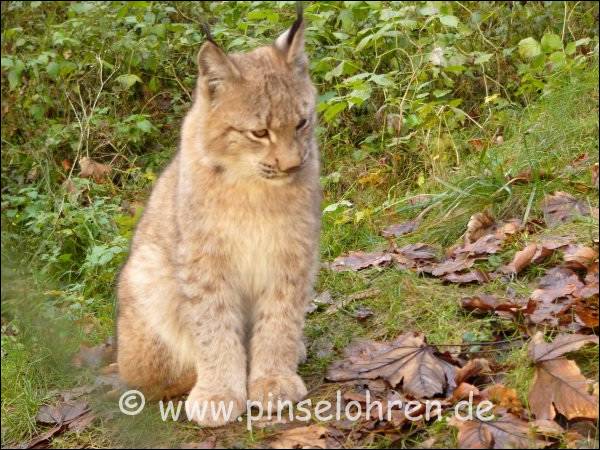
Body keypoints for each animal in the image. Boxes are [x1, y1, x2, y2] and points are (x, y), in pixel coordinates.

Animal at [118, 10, 324, 426]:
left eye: (301, 122)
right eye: (259, 132)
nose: (292, 165)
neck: (254, 189)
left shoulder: (294, 251)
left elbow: (280, 317)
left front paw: (272, 377)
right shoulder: (203, 261)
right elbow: (212, 326)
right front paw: (219, 392)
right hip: (145, 271)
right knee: (145, 377)